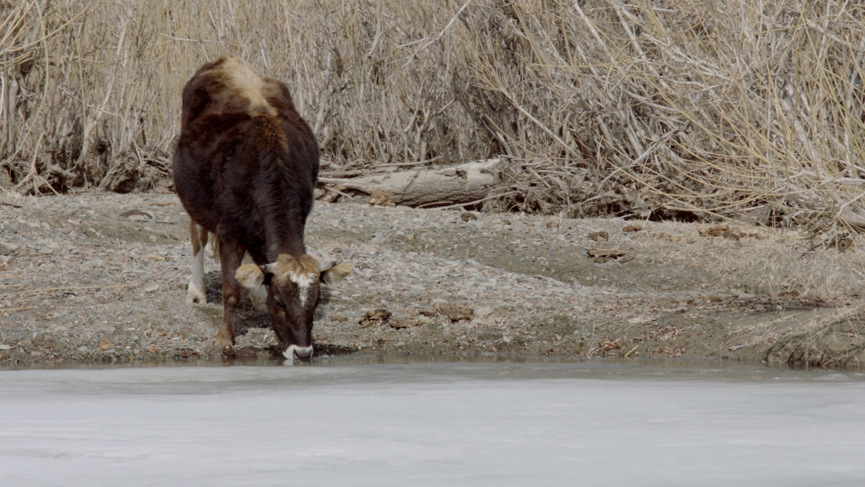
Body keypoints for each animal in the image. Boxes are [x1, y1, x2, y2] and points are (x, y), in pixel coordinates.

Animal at [170, 56, 350, 362]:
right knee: (198, 237)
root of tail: (226, 60)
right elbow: (231, 289)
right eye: (280, 301)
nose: (302, 351)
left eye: (315, 302)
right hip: (194, 199)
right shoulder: (228, 230)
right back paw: (196, 292)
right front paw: (224, 339)